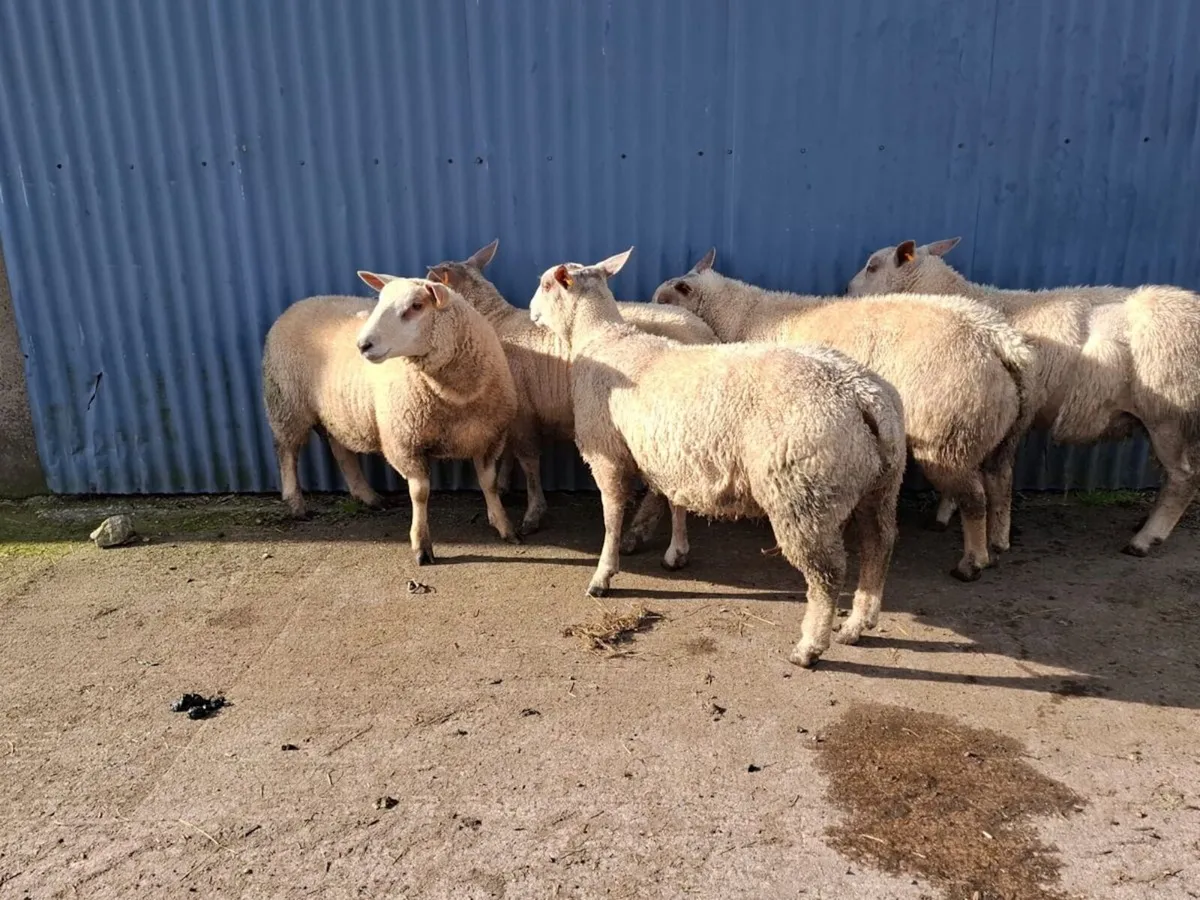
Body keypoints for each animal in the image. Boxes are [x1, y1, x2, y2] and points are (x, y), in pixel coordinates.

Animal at [261, 274, 519, 565]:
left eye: (417, 306)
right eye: (380, 301)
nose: (362, 345)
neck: (457, 397)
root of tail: (299, 304)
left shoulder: (490, 437)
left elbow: (489, 483)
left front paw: (504, 526)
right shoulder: (404, 442)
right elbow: (420, 493)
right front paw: (421, 545)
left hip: (336, 412)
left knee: (340, 450)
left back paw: (368, 496)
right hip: (287, 403)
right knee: (287, 451)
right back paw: (295, 503)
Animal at [425, 239, 716, 546]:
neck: (494, 323)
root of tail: (708, 334)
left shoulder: (524, 412)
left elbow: (529, 461)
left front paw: (533, 513)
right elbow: (509, 453)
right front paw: (504, 484)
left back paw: (637, 532)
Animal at [528, 248, 907, 667]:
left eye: (545, 284)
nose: (531, 312)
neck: (602, 339)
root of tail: (861, 393)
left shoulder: (606, 451)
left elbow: (612, 518)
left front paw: (603, 576)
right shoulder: (671, 453)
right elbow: (675, 502)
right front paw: (676, 553)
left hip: (803, 494)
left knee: (828, 572)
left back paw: (810, 646)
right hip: (879, 483)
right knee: (879, 544)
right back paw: (859, 622)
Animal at [652, 249, 1035, 582]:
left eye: (663, 300)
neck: (741, 314)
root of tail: (997, 339)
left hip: (949, 438)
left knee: (974, 499)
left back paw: (972, 562)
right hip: (999, 432)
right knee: (1001, 480)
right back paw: (998, 543)